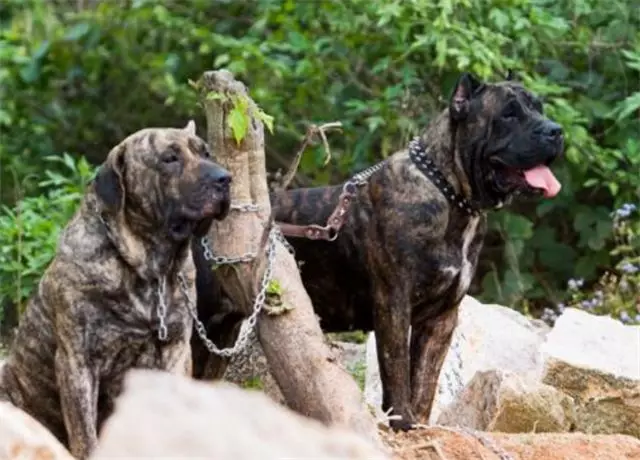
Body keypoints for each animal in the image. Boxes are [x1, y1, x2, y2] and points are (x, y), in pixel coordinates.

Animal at [0, 122, 232, 460]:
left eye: (206, 153)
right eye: (169, 158)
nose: (225, 179)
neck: (150, 268)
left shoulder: (176, 350)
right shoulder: (77, 361)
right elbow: (86, 436)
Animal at [268, 73, 564, 432]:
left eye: (539, 108)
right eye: (508, 114)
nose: (555, 130)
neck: (451, 195)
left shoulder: (441, 317)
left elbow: (424, 380)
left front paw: (420, 423)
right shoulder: (394, 303)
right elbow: (397, 370)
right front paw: (403, 422)